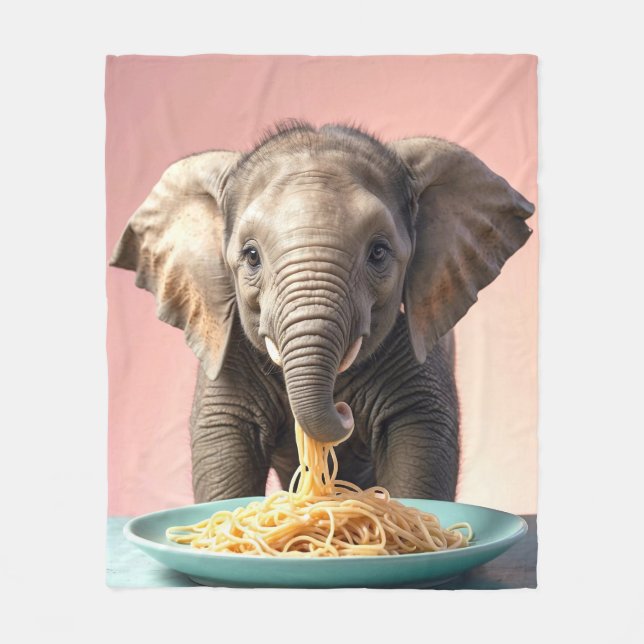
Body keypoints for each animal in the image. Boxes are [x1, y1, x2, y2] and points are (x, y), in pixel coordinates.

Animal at [110, 120, 534, 503]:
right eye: (251, 256)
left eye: (378, 252)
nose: (345, 412)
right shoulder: (226, 353)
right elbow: (221, 444)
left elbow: (422, 440)